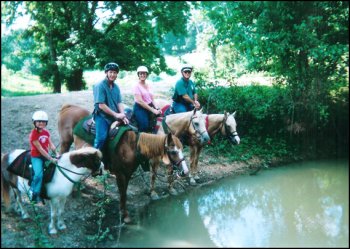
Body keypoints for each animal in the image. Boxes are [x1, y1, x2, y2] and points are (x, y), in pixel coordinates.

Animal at [57, 104, 189, 223]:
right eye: (173, 151)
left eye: (182, 149)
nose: (186, 171)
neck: (133, 147)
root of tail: (68, 107)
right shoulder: (120, 174)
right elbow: (122, 193)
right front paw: (125, 216)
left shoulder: (128, 173)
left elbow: (124, 193)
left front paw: (123, 213)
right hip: (66, 143)